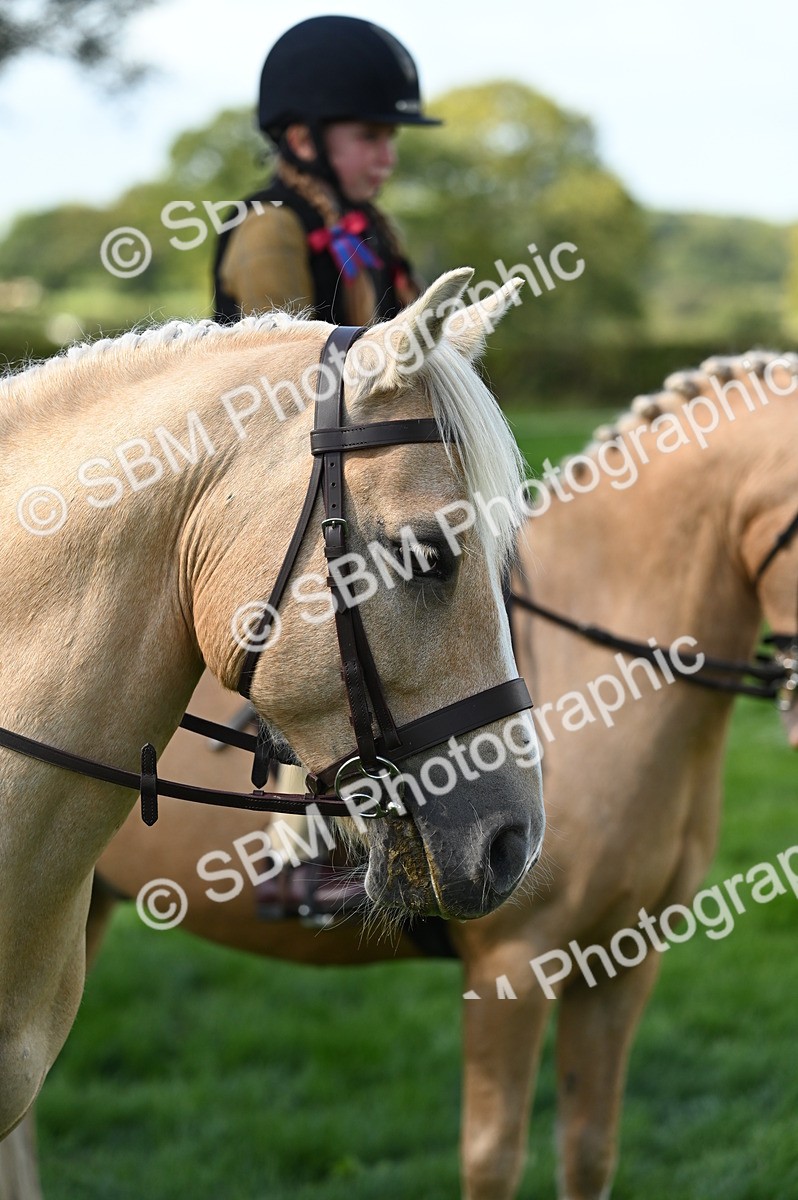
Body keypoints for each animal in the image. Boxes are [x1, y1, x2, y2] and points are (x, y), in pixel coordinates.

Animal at [9, 349, 796, 1199]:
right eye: (427, 555)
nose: (512, 844)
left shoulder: (624, 961)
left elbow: (589, 1150)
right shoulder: (517, 965)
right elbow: (493, 1158)